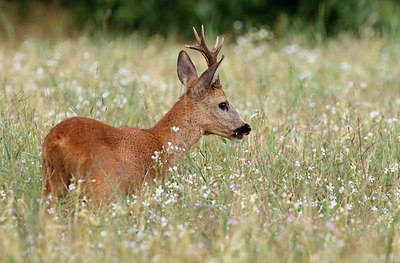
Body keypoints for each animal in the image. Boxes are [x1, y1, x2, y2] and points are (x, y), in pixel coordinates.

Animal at [42, 26, 252, 204]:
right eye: (223, 104)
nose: (246, 127)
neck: (160, 143)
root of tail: (57, 141)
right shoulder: (145, 189)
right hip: (101, 186)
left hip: (52, 183)